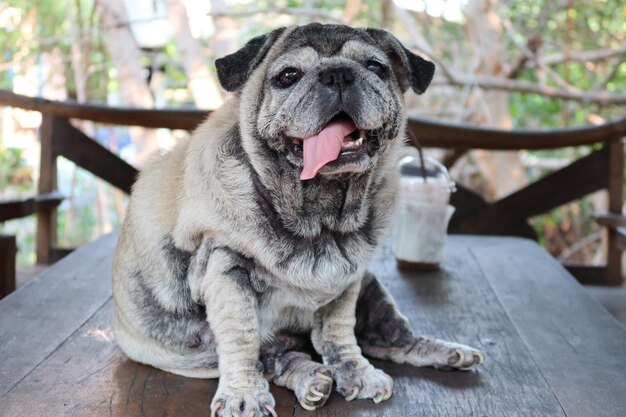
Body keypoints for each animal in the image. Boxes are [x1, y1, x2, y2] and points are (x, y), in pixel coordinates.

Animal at [112, 23, 482, 416]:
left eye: (376, 68)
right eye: (288, 76)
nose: (338, 74)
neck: (319, 216)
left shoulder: (349, 280)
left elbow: (338, 332)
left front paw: (356, 373)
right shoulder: (226, 270)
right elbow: (241, 341)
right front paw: (244, 396)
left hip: (374, 289)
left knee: (390, 339)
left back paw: (446, 353)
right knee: (278, 358)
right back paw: (311, 379)